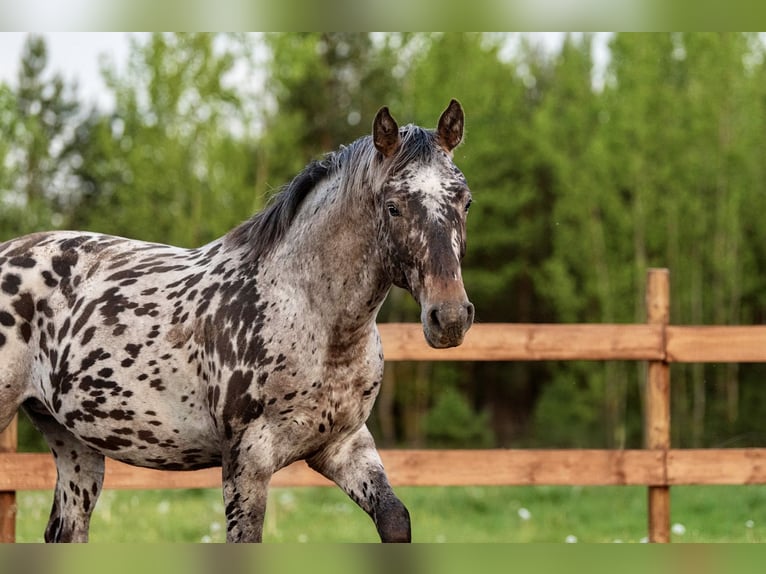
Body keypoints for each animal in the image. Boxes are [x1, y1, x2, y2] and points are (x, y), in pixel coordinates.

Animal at [0, 100, 474, 542]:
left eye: (465, 201)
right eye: (393, 207)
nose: (449, 317)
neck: (312, 319)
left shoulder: (344, 445)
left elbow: (395, 519)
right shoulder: (248, 460)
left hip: (72, 441)